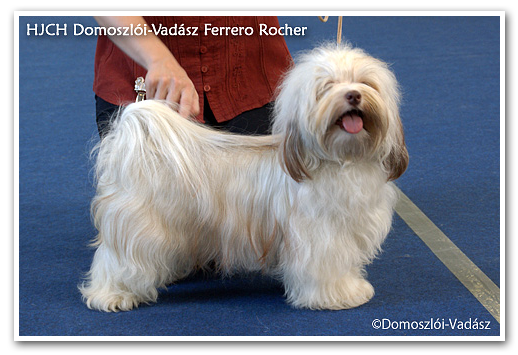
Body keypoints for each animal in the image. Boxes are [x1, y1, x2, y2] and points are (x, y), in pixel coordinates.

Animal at [80, 43, 410, 312]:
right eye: (327, 87)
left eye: (366, 83)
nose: (353, 94)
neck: (341, 159)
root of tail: (131, 144)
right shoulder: (322, 237)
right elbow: (326, 268)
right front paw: (338, 295)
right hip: (140, 227)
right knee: (117, 260)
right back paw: (113, 296)